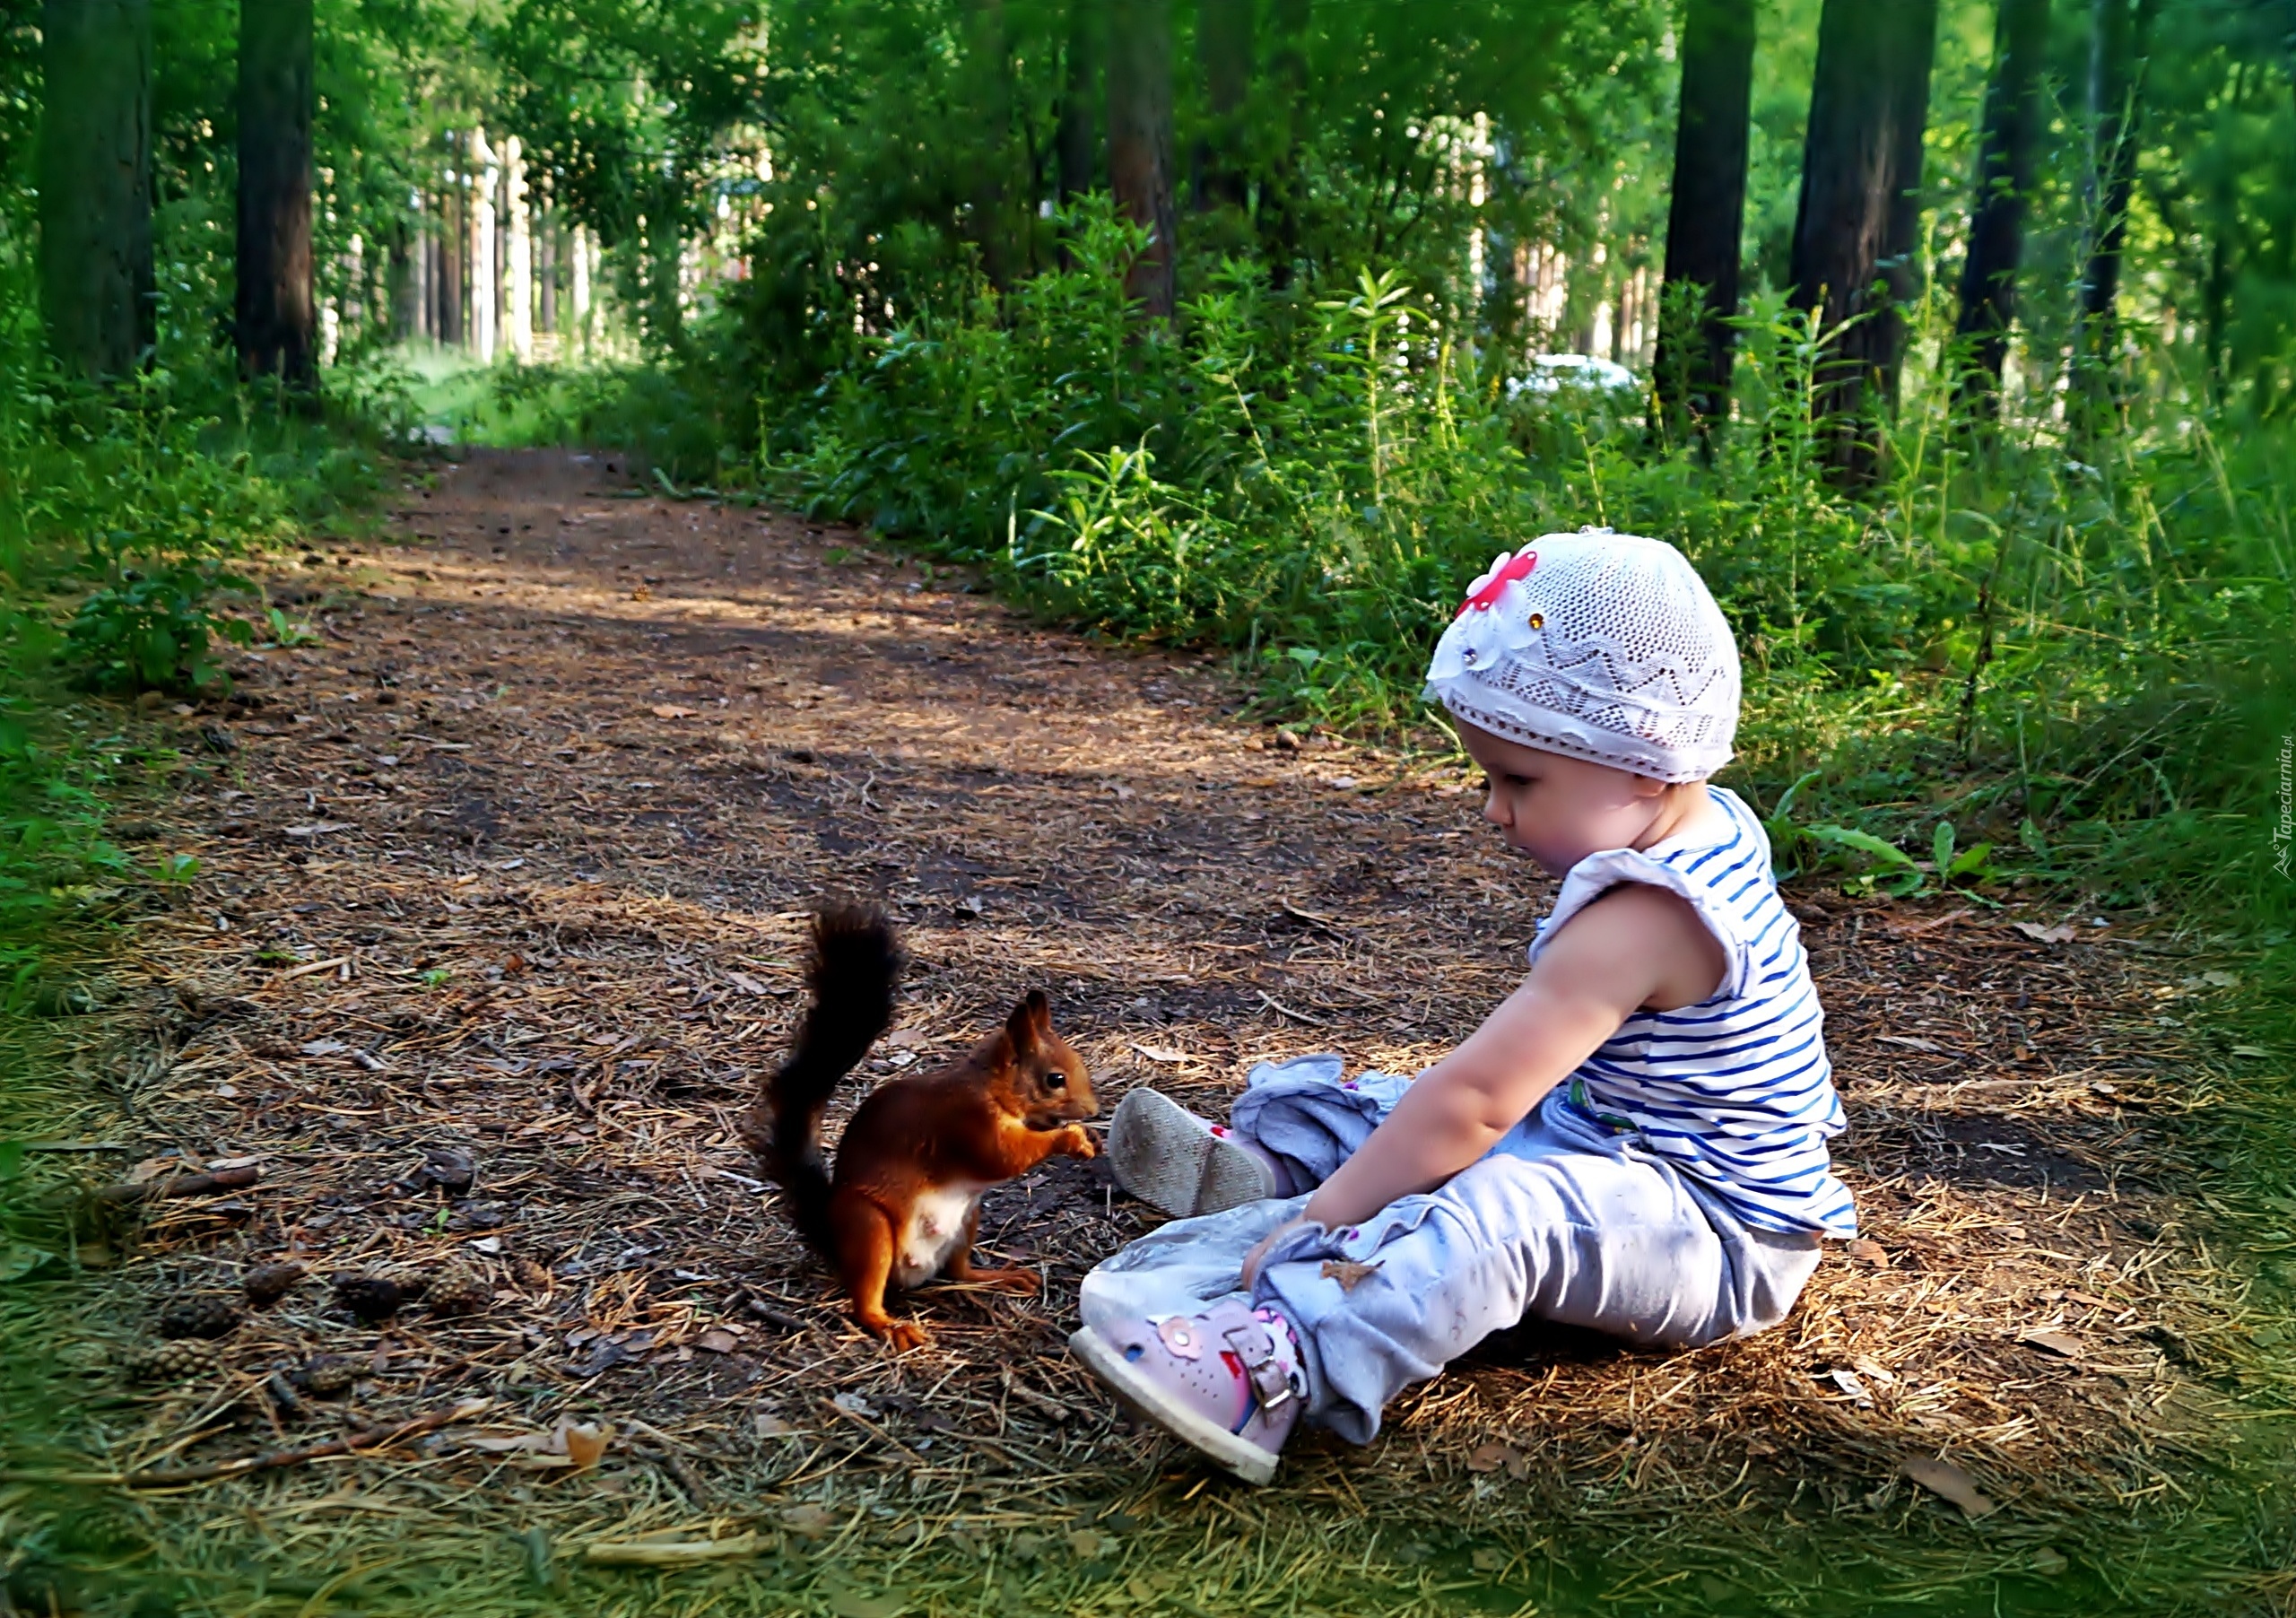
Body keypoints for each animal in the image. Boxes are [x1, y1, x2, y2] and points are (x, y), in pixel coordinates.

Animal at [735, 904, 1092, 1340]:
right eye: (1055, 1079)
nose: (1092, 1110)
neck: (991, 1089)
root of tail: (831, 1237)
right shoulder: (964, 1122)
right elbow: (1001, 1157)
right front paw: (1069, 1139)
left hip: (966, 1221)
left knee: (958, 1271)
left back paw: (998, 1277)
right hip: (869, 1228)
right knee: (866, 1296)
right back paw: (889, 1325)